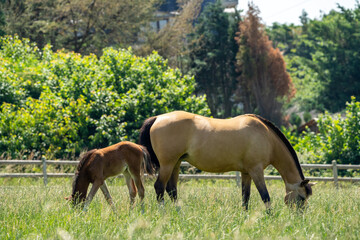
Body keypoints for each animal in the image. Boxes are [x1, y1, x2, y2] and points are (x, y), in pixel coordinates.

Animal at [140, 111, 316, 209]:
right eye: (301, 198)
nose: (298, 218)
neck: (266, 136)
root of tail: (157, 118)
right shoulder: (256, 170)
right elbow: (265, 196)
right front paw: (270, 217)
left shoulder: (246, 173)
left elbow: (245, 197)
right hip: (167, 164)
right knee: (159, 187)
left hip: (175, 163)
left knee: (171, 189)